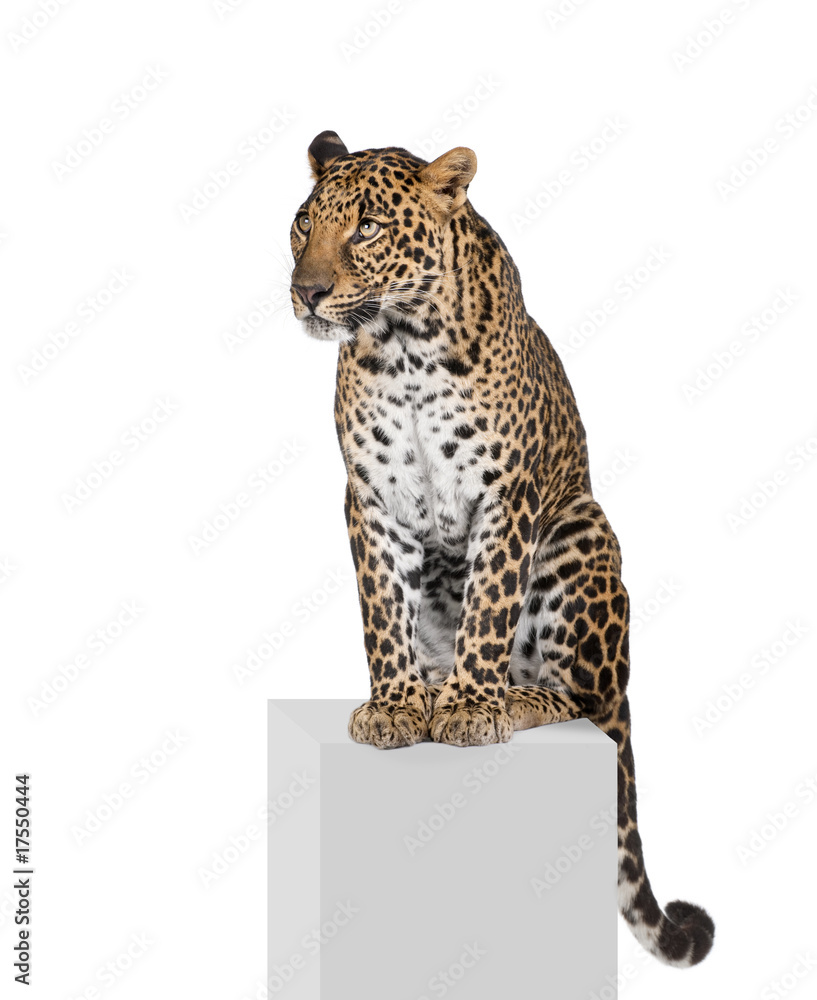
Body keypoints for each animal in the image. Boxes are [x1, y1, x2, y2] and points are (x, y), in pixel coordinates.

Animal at [288, 129, 715, 967]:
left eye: (367, 228)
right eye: (303, 225)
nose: (307, 291)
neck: (403, 349)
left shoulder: (505, 495)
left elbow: (488, 608)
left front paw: (469, 709)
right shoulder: (371, 500)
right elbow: (380, 614)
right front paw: (395, 706)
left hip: (581, 535)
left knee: (578, 695)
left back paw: (508, 696)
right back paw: (432, 684)